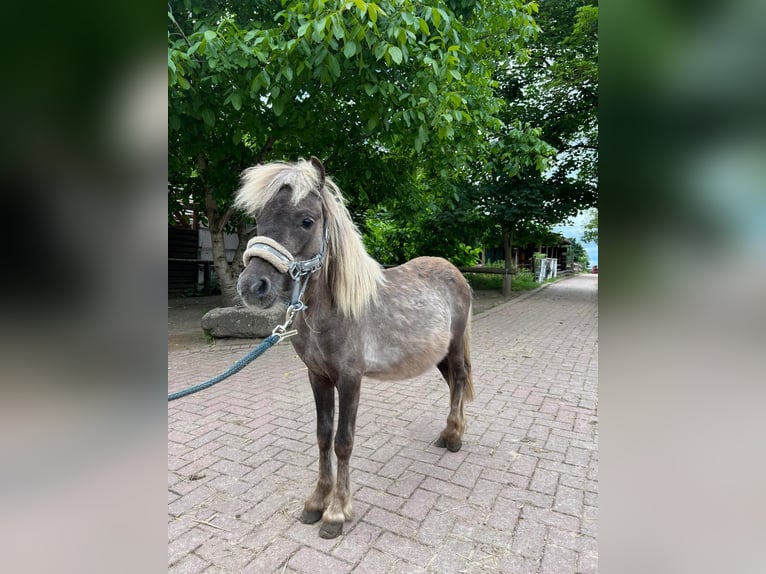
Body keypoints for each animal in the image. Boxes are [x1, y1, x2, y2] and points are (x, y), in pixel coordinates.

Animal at [235, 157, 474, 539]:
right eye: (258, 217)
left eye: (307, 220)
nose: (253, 286)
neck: (334, 310)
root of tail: (455, 272)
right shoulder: (317, 377)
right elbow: (322, 436)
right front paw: (316, 502)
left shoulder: (350, 379)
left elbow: (343, 441)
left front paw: (336, 513)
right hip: (437, 356)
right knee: (453, 383)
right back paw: (447, 434)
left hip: (453, 348)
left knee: (460, 379)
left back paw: (453, 436)